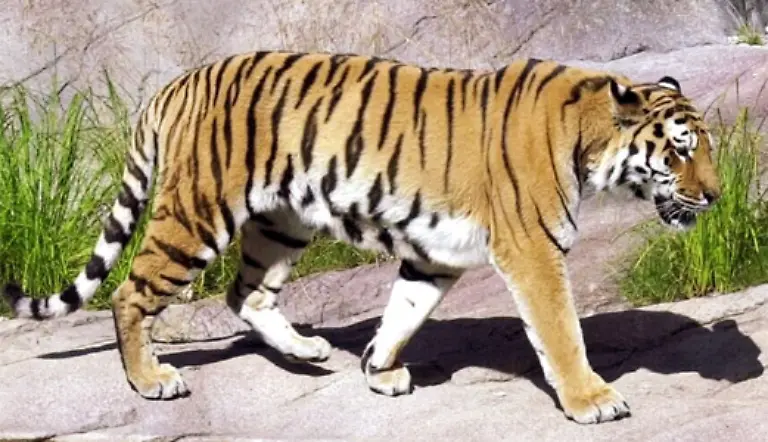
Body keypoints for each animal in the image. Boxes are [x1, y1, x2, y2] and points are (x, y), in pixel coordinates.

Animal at [3, 50, 720, 424]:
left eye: (705, 148)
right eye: (681, 150)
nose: (715, 195)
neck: (590, 143)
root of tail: (175, 85)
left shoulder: (434, 257)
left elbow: (404, 311)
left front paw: (378, 369)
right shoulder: (534, 253)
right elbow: (562, 332)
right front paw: (592, 400)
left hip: (281, 223)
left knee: (245, 294)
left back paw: (307, 350)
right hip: (195, 215)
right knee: (131, 294)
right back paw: (150, 379)